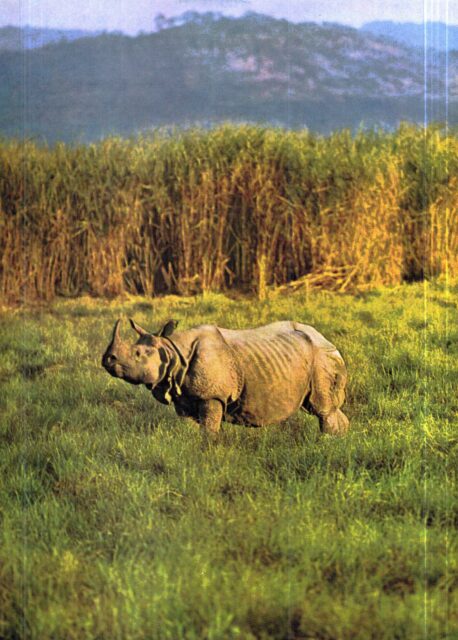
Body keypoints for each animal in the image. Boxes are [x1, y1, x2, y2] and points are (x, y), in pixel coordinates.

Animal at [102, 318, 349, 436]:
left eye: (137, 354)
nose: (107, 360)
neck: (171, 351)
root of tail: (328, 340)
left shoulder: (212, 395)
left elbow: (209, 430)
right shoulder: (185, 396)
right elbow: (190, 427)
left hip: (322, 357)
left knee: (322, 408)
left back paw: (326, 442)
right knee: (329, 409)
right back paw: (338, 441)